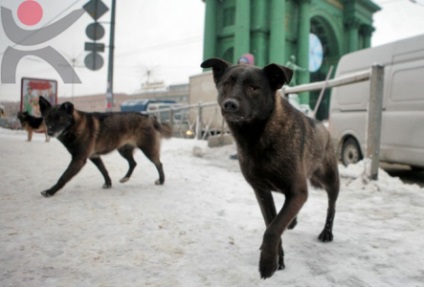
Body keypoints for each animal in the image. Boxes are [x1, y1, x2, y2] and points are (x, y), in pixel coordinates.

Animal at [38, 97, 172, 198]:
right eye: (47, 118)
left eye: (60, 118)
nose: (50, 132)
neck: (75, 127)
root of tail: (148, 117)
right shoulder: (94, 156)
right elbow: (103, 170)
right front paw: (108, 184)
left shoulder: (79, 159)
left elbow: (64, 176)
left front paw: (50, 191)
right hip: (123, 150)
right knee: (133, 163)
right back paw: (125, 178)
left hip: (148, 150)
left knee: (159, 164)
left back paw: (161, 180)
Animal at [202, 59, 342, 282]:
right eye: (226, 84)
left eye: (253, 87)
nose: (230, 104)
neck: (256, 137)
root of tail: (324, 126)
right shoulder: (262, 191)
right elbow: (272, 223)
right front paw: (278, 260)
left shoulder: (298, 191)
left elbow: (273, 229)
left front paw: (267, 264)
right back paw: (293, 222)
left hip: (330, 181)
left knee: (332, 206)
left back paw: (327, 232)